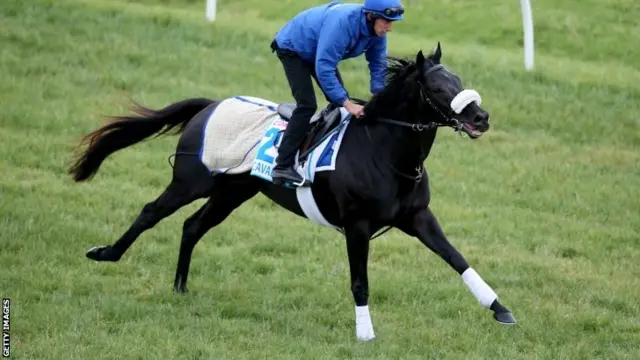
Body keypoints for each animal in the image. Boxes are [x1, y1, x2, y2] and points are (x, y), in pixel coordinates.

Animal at [69, 43, 516, 340]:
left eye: (459, 81)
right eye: (438, 90)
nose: (481, 116)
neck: (385, 150)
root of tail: (212, 104)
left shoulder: (418, 217)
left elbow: (458, 259)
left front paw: (500, 309)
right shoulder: (357, 225)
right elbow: (360, 281)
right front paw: (365, 334)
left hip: (233, 193)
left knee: (193, 226)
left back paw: (180, 287)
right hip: (191, 182)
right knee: (150, 211)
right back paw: (106, 254)